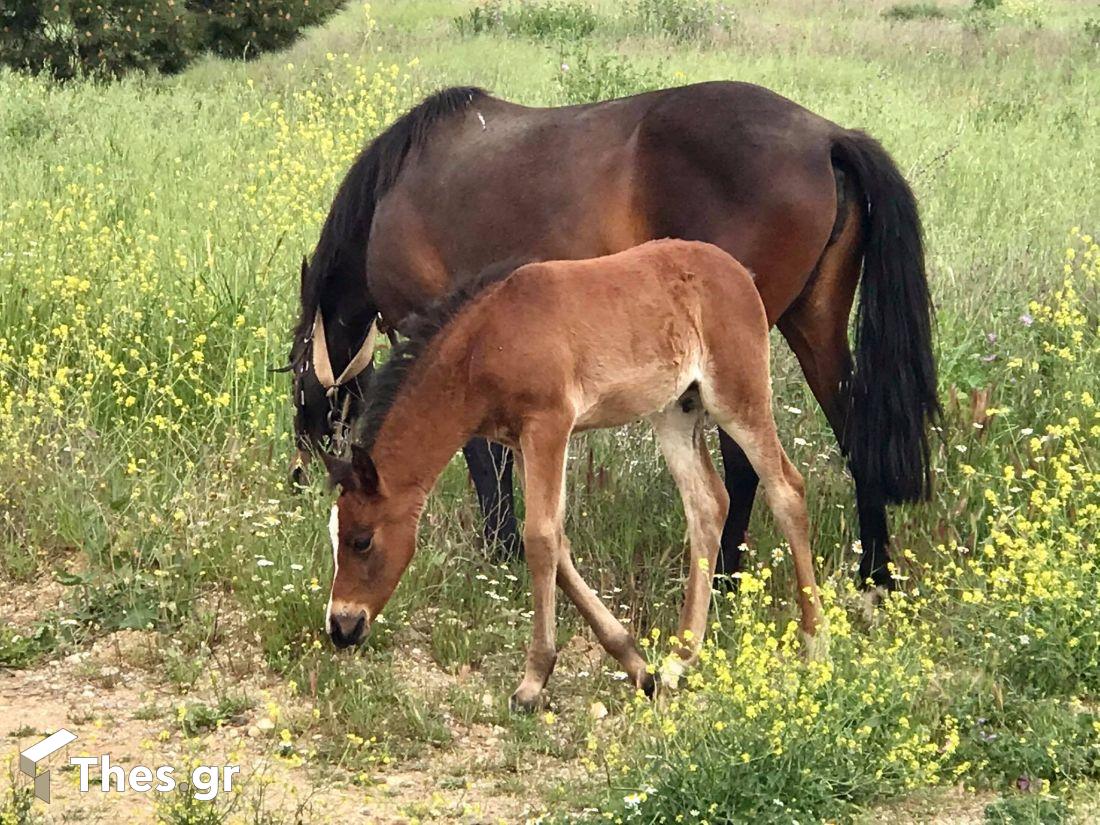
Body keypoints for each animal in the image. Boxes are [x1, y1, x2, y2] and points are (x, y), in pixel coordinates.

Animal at [292, 82, 937, 589]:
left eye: (298, 378)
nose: (302, 476)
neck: (393, 190)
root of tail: (826, 136)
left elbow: (481, 457)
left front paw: (499, 549)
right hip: (815, 326)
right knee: (855, 435)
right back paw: (874, 575)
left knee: (745, 464)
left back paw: (724, 579)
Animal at [321, 238, 822, 712]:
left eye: (362, 540)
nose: (342, 627)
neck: (484, 343)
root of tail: (739, 272)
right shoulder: (521, 443)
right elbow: (557, 542)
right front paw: (637, 665)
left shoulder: (549, 425)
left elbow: (541, 539)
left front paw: (532, 683)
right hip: (675, 410)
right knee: (708, 504)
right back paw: (678, 662)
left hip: (738, 393)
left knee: (787, 489)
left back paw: (815, 640)